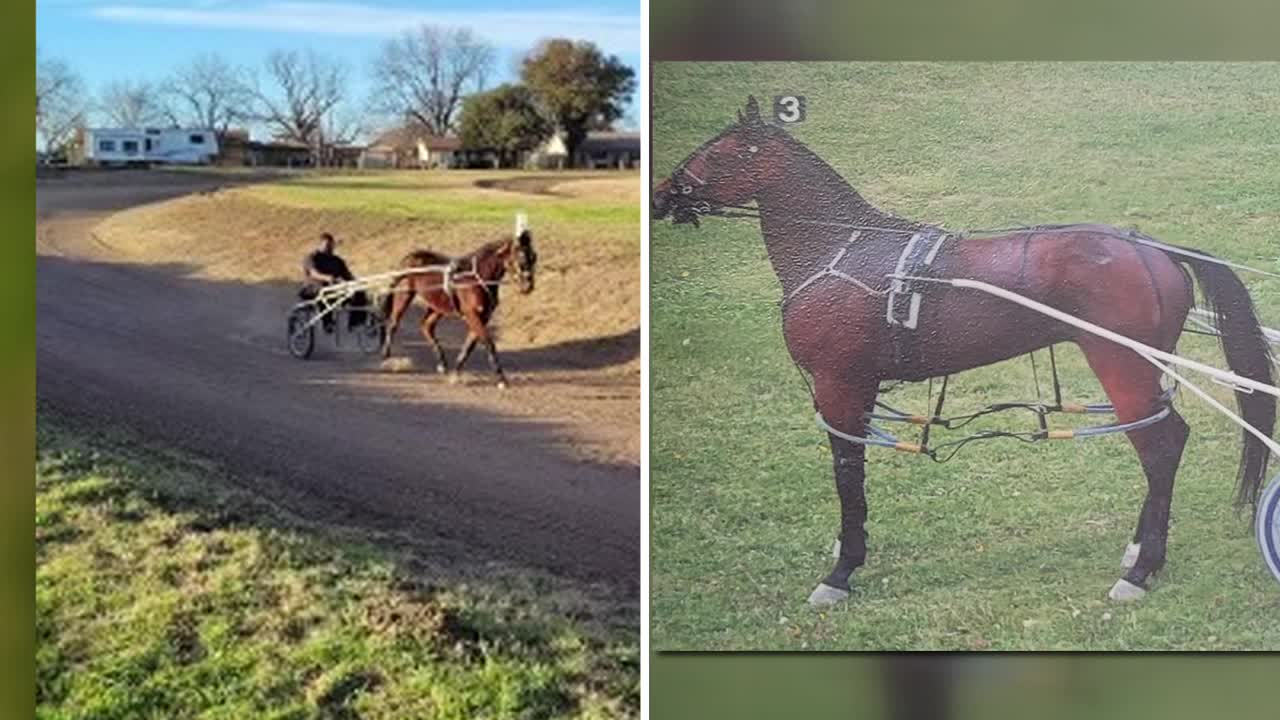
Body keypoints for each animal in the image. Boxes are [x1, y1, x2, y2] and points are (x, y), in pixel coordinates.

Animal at [378, 229, 540, 386]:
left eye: (534, 257)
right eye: (521, 257)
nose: (528, 286)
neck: (476, 277)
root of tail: (410, 257)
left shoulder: (482, 317)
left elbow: (469, 346)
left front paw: (455, 373)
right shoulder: (472, 315)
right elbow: (488, 343)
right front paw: (501, 379)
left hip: (438, 305)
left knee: (426, 326)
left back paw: (442, 363)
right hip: (404, 294)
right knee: (394, 323)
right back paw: (386, 357)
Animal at [655, 96, 1274, 604]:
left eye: (714, 152)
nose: (662, 193)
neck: (839, 247)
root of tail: (1150, 248)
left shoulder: (839, 385)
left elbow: (847, 474)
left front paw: (842, 571)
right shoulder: (859, 386)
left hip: (1123, 368)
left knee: (1161, 449)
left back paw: (1141, 570)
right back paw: (1140, 550)